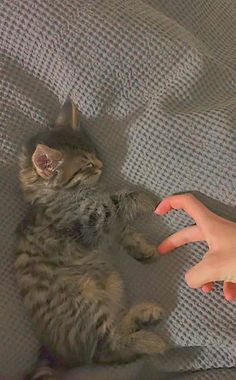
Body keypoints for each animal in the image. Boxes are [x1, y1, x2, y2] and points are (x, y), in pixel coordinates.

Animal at [15, 98, 166, 378]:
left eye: (95, 152)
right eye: (86, 164)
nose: (101, 165)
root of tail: (53, 355)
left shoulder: (106, 227)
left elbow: (123, 230)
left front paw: (142, 248)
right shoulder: (90, 222)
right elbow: (116, 200)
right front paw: (145, 199)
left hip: (113, 282)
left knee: (113, 335)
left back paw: (144, 315)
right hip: (86, 302)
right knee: (107, 350)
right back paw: (150, 341)